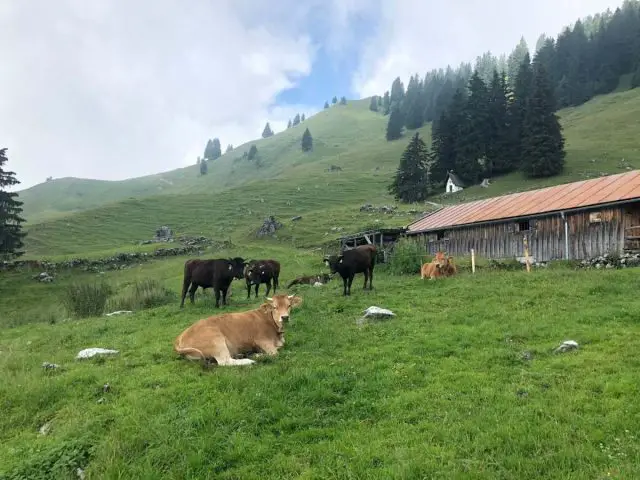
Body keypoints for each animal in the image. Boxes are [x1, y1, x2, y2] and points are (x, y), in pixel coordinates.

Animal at [174, 292, 304, 368]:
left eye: (289, 305)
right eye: (275, 307)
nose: (285, 317)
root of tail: (180, 337)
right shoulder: (262, 340)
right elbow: (275, 353)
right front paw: (257, 355)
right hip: (215, 340)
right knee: (224, 361)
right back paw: (249, 360)